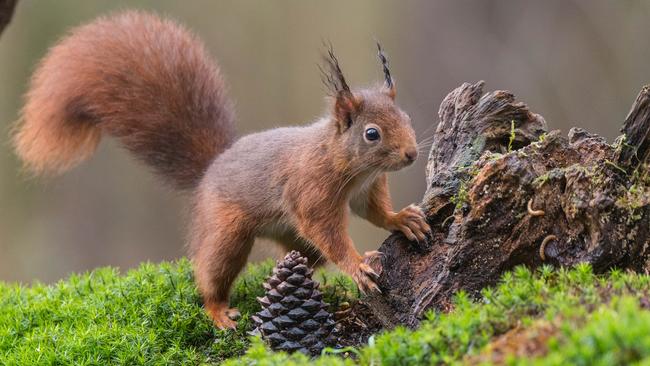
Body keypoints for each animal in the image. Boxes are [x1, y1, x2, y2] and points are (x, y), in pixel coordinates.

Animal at [13, 11, 430, 328]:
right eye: (372, 134)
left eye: (407, 117)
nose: (411, 154)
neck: (347, 164)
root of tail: (211, 167)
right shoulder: (312, 189)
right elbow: (327, 231)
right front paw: (357, 264)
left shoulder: (366, 188)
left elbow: (373, 211)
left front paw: (402, 219)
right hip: (226, 232)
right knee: (210, 271)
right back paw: (218, 311)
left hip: (290, 239)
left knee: (302, 257)